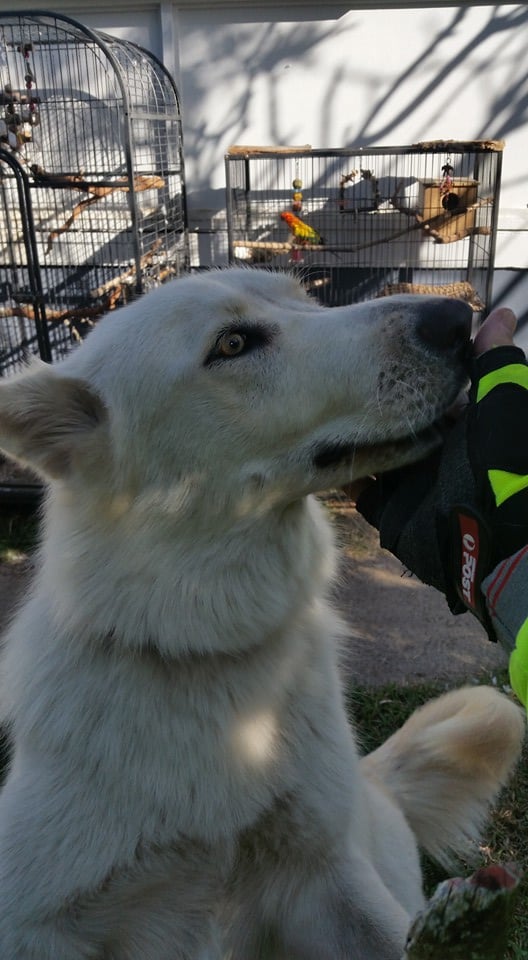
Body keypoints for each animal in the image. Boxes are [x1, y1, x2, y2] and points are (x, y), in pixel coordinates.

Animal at [0, 266, 524, 956]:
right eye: (232, 344)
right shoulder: (38, 925)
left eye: (302, 298)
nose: (457, 320)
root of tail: (371, 781)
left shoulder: (327, 876)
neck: (203, 649)